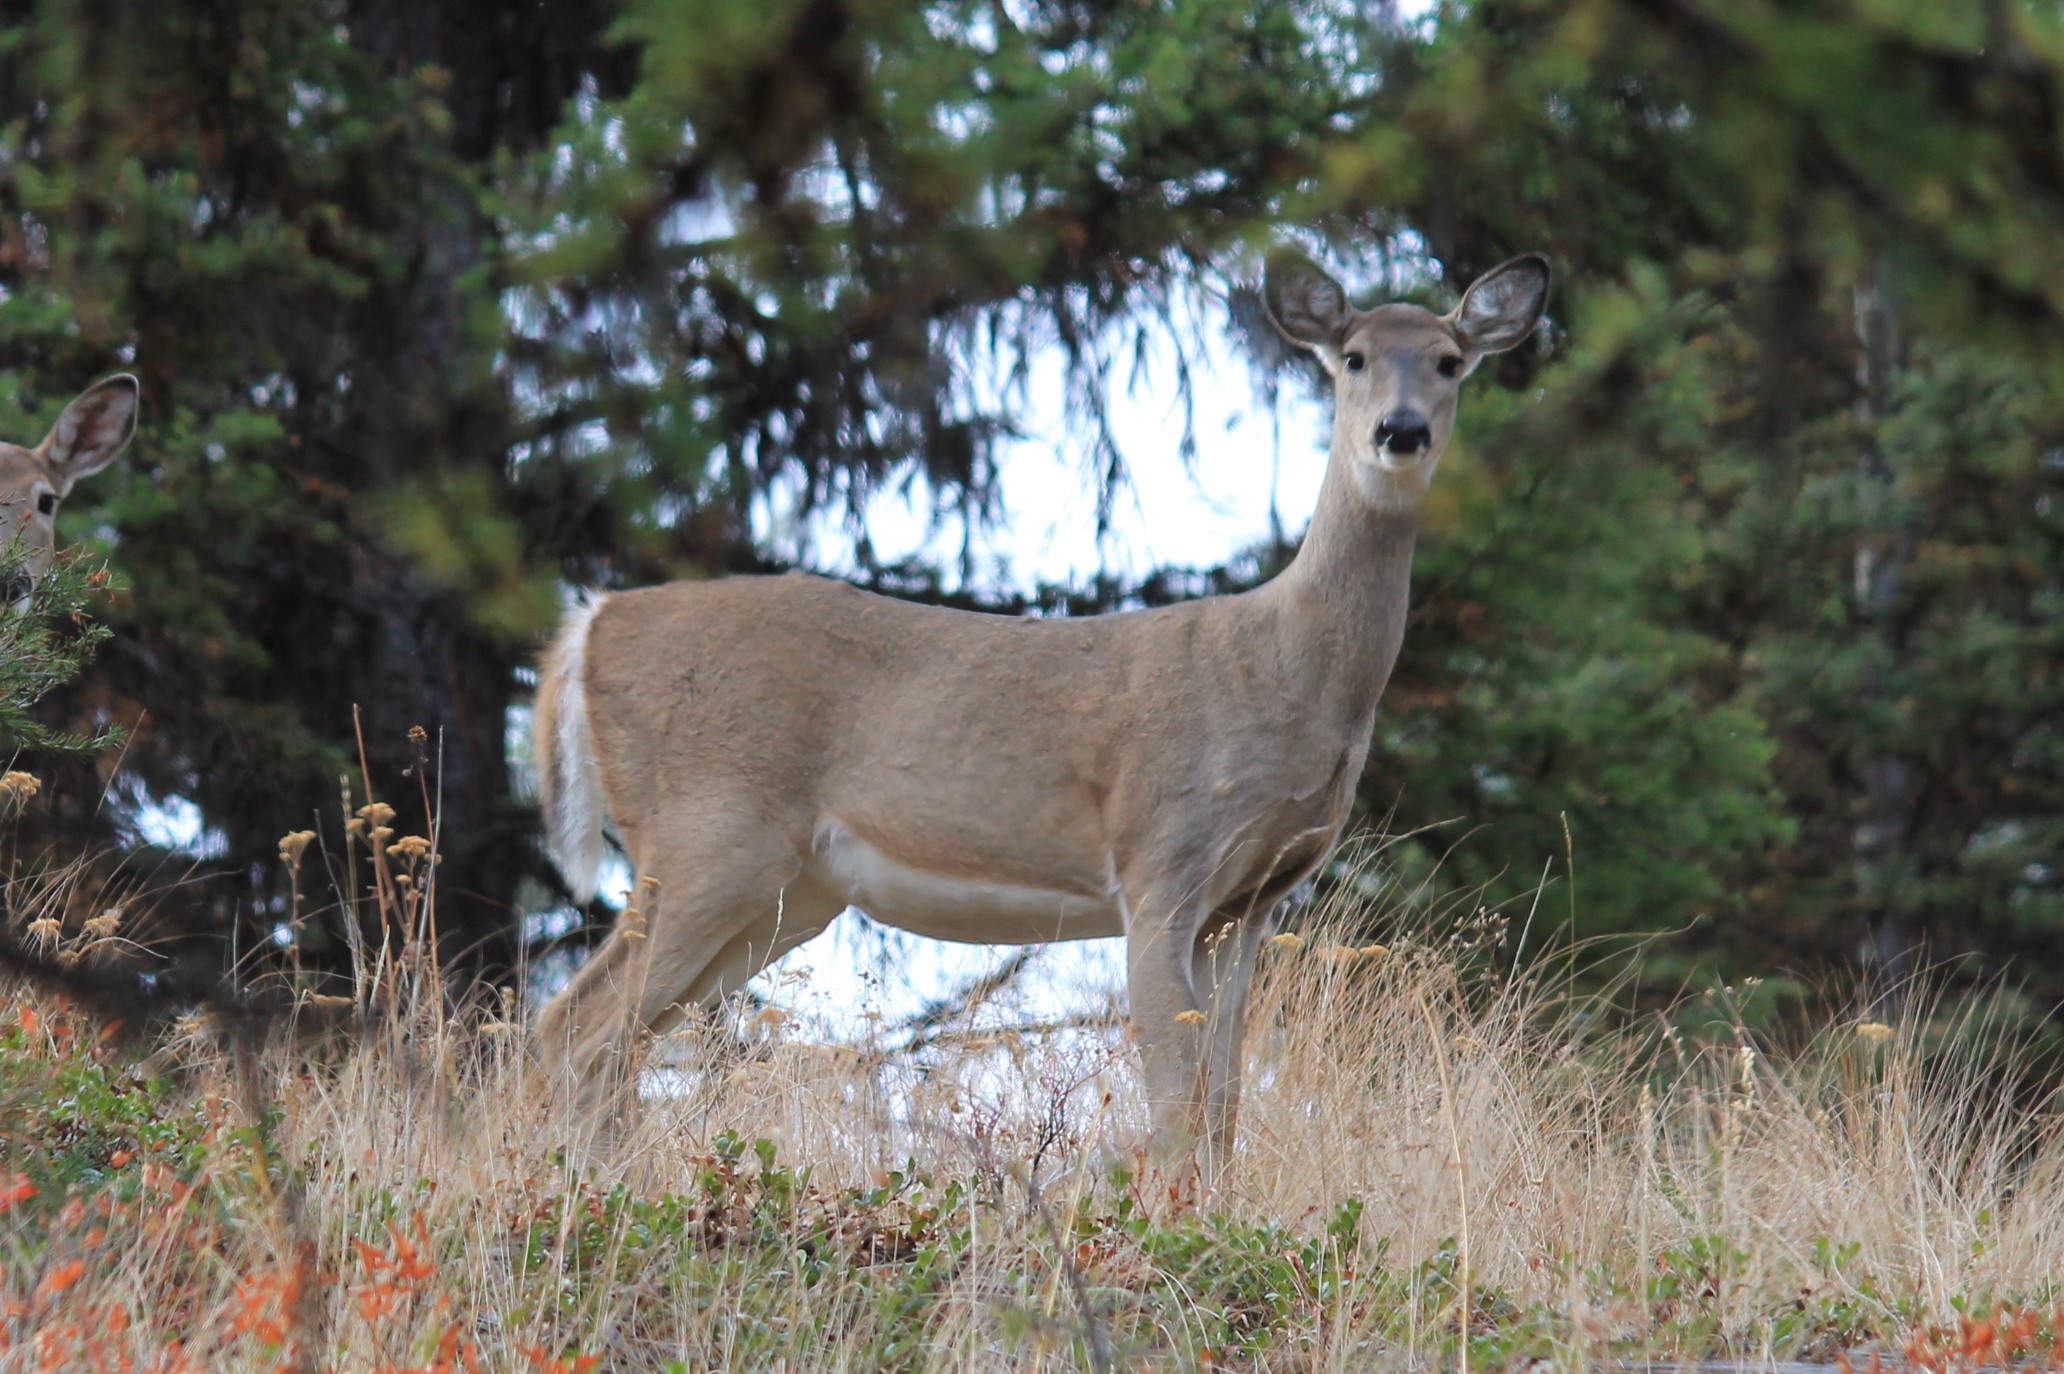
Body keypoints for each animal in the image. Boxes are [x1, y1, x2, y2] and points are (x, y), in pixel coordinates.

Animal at [532, 243, 1552, 1155]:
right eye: (1354, 357)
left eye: (1449, 360)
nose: (1401, 431)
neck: (1289, 675)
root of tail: (590, 622)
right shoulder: (1159, 855)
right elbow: (1175, 1103)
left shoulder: (1251, 901)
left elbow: (1223, 1107)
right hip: (707, 829)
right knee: (576, 1030)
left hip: (791, 890)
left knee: (608, 1040)